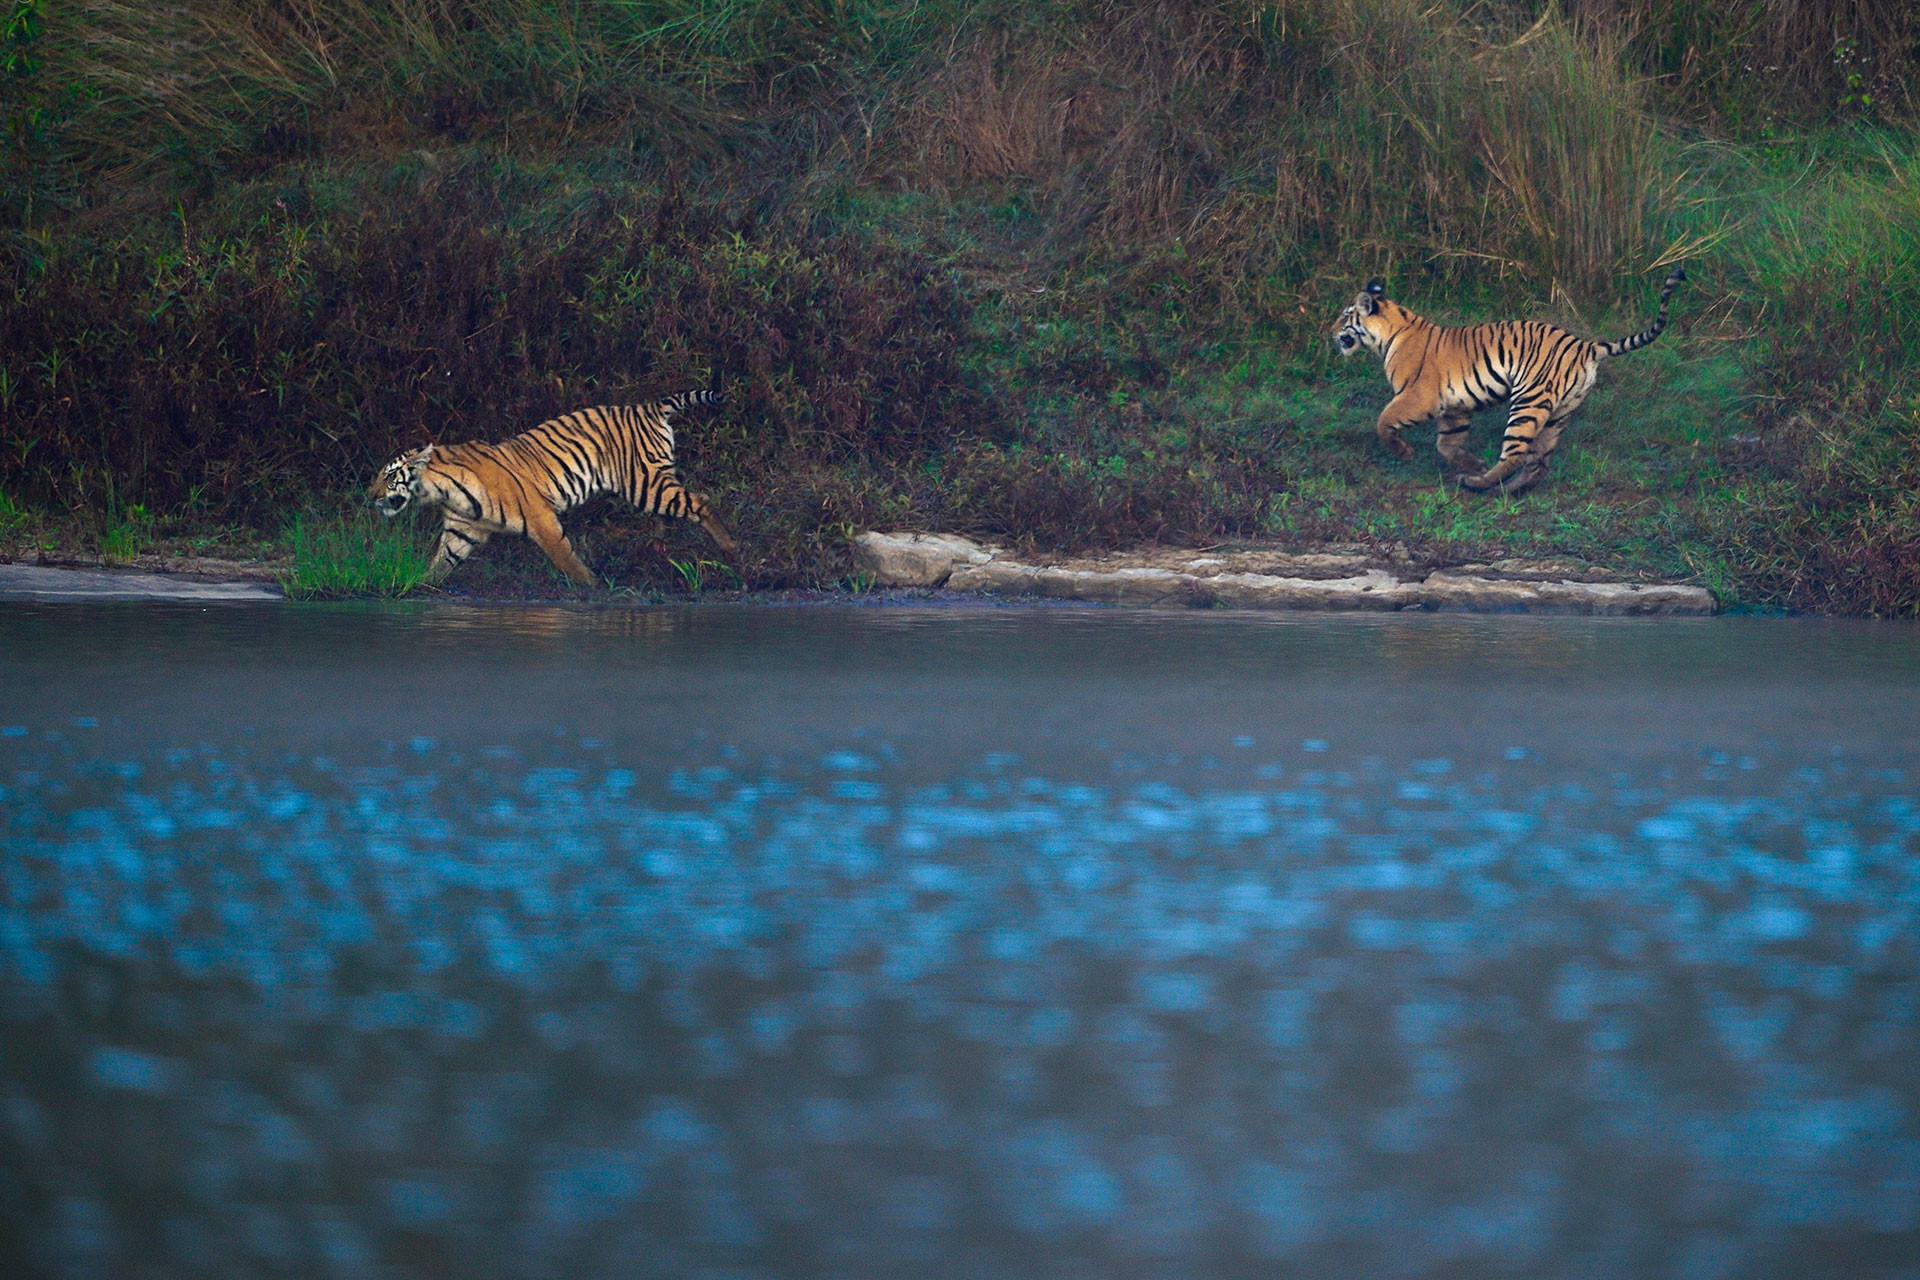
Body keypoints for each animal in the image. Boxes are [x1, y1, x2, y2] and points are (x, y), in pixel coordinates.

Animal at [369, 391, 737, 586]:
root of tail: (648, 407)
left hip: (643, 482)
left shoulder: (541, 518)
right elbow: (440, 563)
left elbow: (566, 558)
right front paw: (420, 585)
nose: (369, 496)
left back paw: (731, 549)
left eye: (390, 475)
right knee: (673, 510)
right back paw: (658, 544)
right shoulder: (461, 531)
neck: (443, 491)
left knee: (701, 501)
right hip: (652, 483)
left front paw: (590, 585)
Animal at [1332, 267, 1687, 494]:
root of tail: (1584, 345)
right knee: (1538, 462)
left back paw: (1479, 485)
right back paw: (1507, 490)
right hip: (1561, 412)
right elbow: (1447, 443)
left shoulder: (1419, 396)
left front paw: (1405, 453)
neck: (1390, 333)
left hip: (1528, 401)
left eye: (1345, 316)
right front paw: (1472, 463)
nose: (1330, 331)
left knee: (1515, 454)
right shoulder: (1455, 407)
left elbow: (1383, 422)